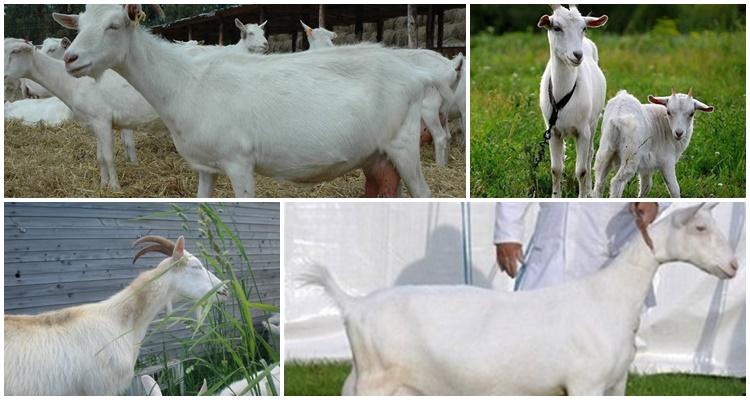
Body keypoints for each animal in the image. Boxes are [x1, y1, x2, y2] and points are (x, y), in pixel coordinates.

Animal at [4, 38, 162, 189]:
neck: (71, 83)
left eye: (15, 51)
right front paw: (103, 184)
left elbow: (109, 156)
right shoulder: (94, 122)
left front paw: (115, 187)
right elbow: (100, 157)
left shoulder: (102, 120)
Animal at [55, 5, 451, 198]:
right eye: (79, 24)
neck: (186, 83)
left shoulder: (238, 162)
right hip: (377, 157)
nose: (71, 59)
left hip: (403, 143)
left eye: (114, 25)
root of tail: (416, 73)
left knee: (424, 193)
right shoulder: (206, 166)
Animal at [300, 203, 737, 395]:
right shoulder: (586, 384)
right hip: (377, 381)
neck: (610, 297)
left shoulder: (616, 384)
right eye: (700, 227)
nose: (733, 265)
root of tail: (354, 305)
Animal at [538, 5, 608, 197]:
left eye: (583, 28)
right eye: (556, 28)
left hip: (593, 123)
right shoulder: (553, 131)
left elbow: (581, 171)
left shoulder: (583, 131)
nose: (577, 55)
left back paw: (590, 190)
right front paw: (556, 196)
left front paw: (583, 196)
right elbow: (556, 169)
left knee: (590, 155)